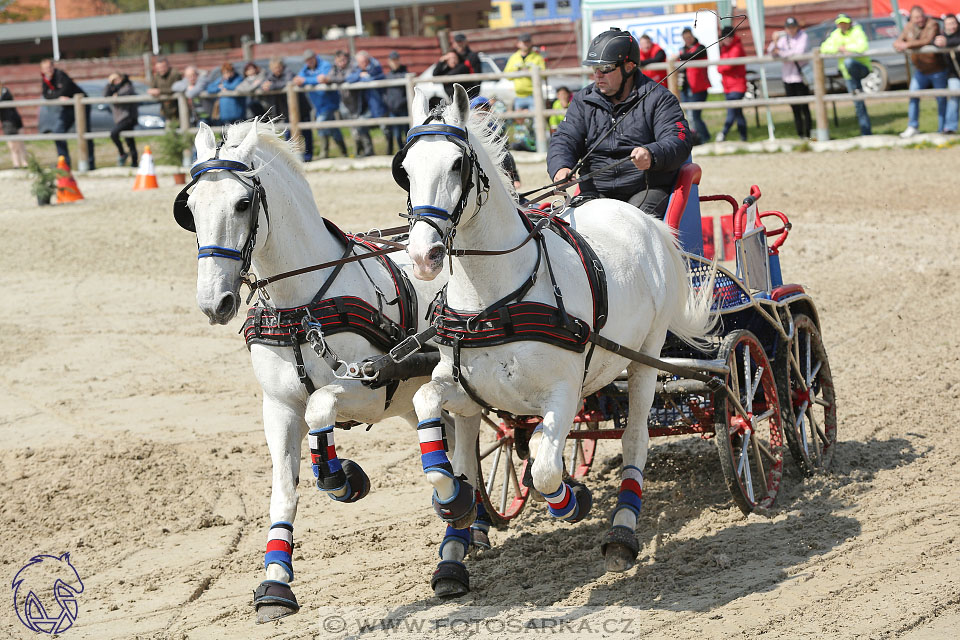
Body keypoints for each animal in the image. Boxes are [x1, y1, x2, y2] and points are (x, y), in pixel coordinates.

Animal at [174, 120, 478, 620]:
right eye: (192, 208)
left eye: (242, 204)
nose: (213, 302)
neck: (302, 304)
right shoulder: (278, 407)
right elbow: (285, 488)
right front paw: (275, 583)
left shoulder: (370, 388)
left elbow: (319, 407)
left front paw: (344, 479)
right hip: (411, 398)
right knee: (448, 442)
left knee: (468, 448)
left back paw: (456, 547)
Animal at [394, 86, 716, 592]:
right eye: (405, 170)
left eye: (457, 164)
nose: (424, 256)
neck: (495, 299)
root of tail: (645, 222)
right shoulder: (465, 386)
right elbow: (432, 411)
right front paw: (454, 501)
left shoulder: (563, 391)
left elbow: (546, 470)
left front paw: (574, 499)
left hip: (645, 358)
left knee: (635, 438)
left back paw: (622, 533)